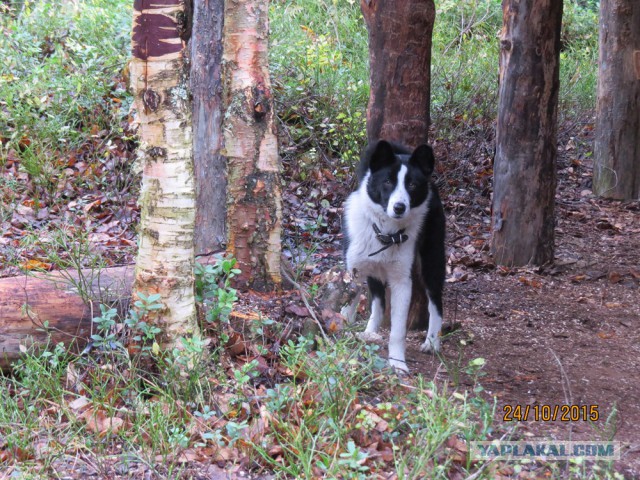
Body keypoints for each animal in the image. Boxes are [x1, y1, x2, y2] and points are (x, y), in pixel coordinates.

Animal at [344, 139, 444, 372]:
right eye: (388, 181)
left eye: (412, 185)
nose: (399, 207)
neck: (385, 234)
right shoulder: (354, 273)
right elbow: (348, 308)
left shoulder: (402, 283)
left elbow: (398, 332)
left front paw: (398, 364)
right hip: (373, 272)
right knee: (378, 304)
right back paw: (369, 334)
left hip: (432, 261)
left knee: (436, 302)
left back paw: (432, 342)